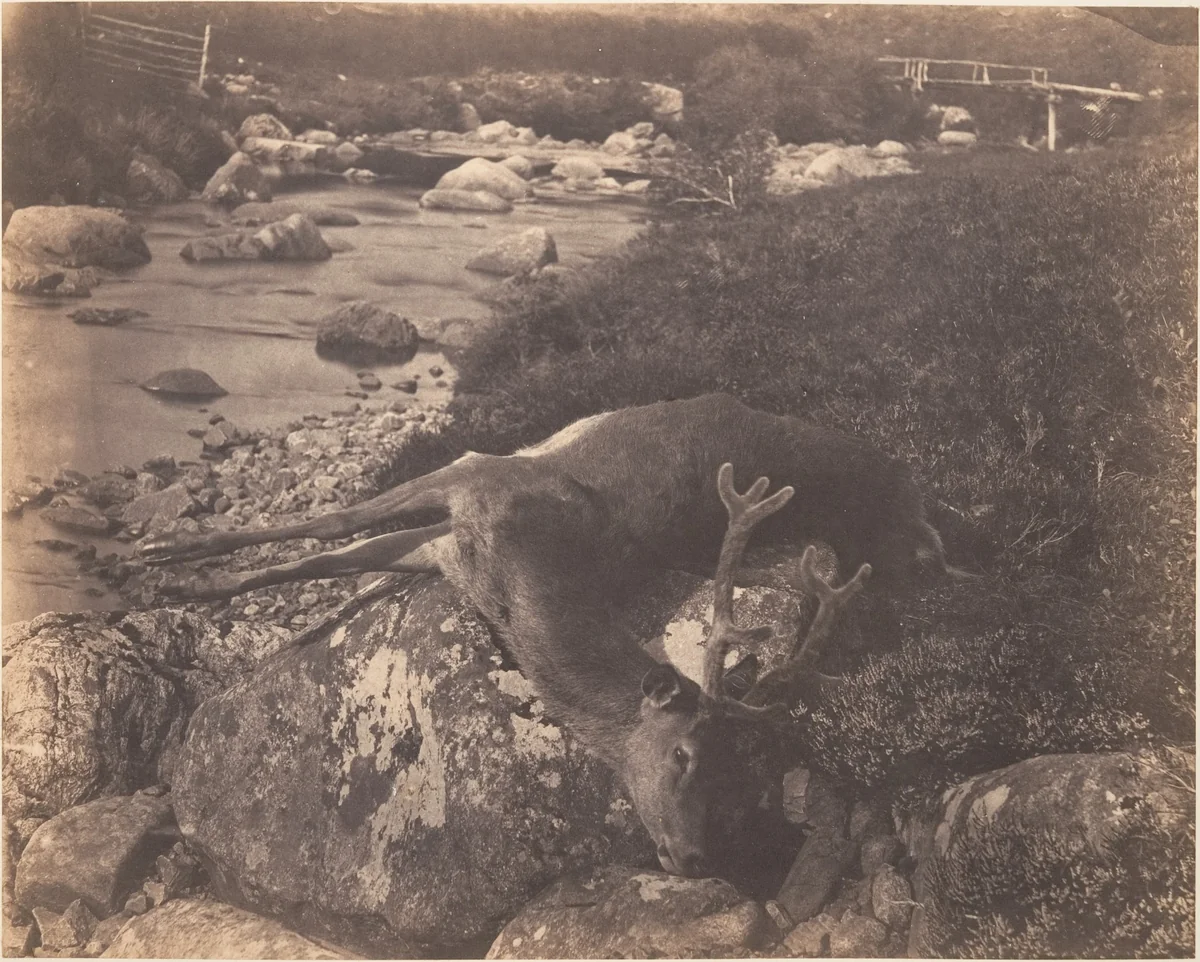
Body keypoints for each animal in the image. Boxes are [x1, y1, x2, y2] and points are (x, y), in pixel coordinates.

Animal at [140, 393, 971, 878]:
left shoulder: (448, 542)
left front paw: (187, 579)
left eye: (743, 785)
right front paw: (169, 564)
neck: (525, 581)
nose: (694, 857)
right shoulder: (472, 479)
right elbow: (324, 530)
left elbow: (325, 554)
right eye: (684, 754)